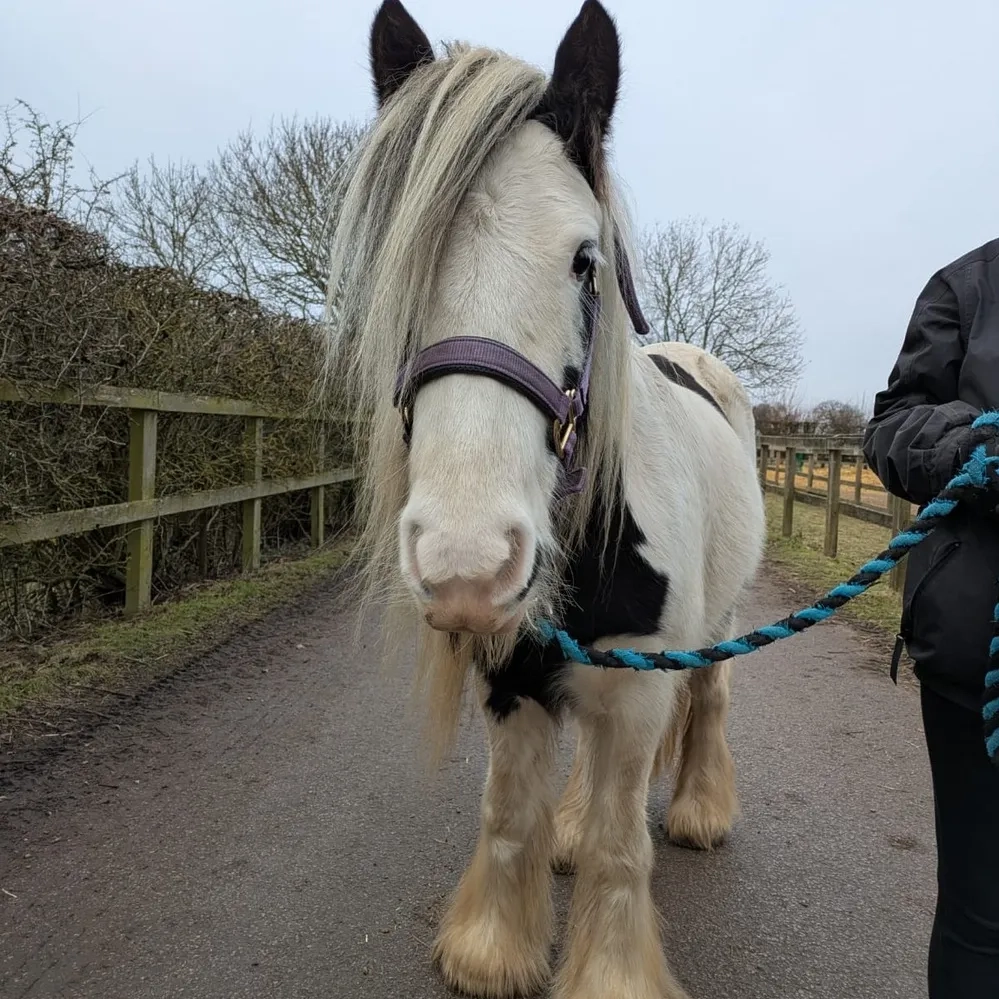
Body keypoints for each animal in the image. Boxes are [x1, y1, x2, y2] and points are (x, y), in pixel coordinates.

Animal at [325, 2, 765, 996]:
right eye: (403, 262)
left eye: (583, 261)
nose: (465, 561)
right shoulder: (512, 676)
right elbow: (511, 816)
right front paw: (493, 949)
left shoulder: (640, 688)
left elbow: (618, 846)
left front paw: (609, 974)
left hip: (718, 622)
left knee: (709, 701)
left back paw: (699, 808)